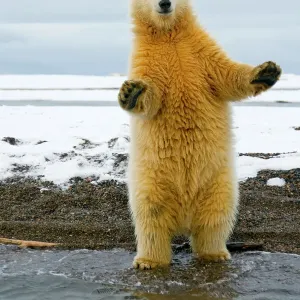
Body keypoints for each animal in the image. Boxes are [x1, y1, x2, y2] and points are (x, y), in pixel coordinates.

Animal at [118, 0, 282, 270]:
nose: (165, 2)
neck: (168, 35)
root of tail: (184, 217)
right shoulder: (146, 59)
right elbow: (151, 98)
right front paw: (131, 93)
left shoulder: (201, 50)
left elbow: (227, 74)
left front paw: (266, 71)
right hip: (150, 179)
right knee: (151, 217)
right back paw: (148, 260)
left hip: (218, 181)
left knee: (215, 218)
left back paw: (215, 253)